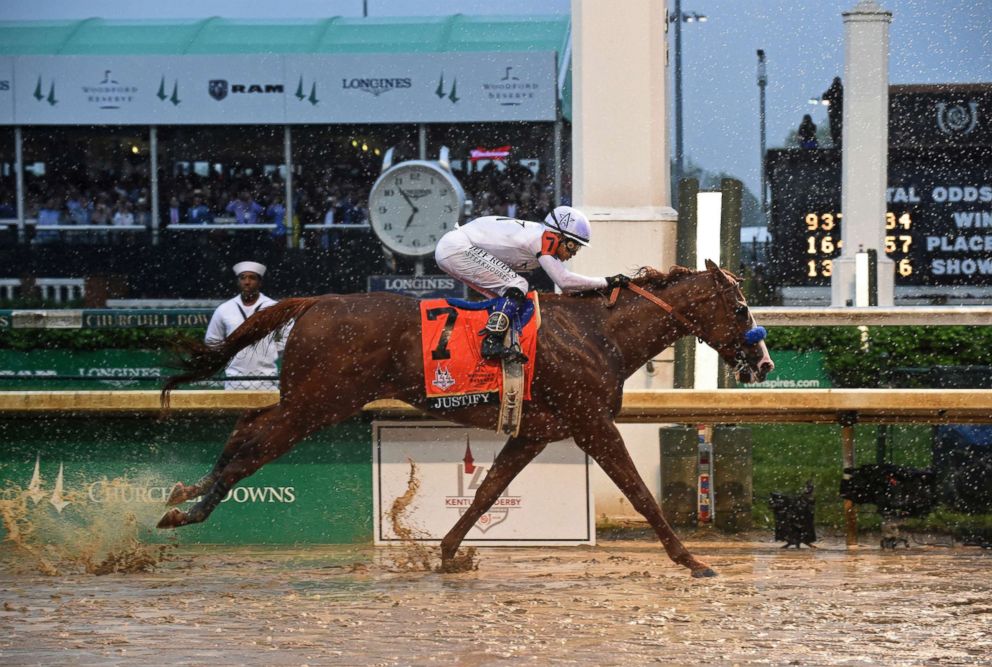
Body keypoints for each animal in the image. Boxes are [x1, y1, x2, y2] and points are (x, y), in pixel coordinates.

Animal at [159, 260, 772, 580]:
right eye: (741, 307)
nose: (763, 362)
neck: (598, 333)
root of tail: (315, 302)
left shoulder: (533, 432)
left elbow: (487, 492)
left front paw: (448, 551)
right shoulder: (592, 421)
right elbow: (640, 492)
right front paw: (692, 559)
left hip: (311, 399)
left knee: (247, 428)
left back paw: (187, 497)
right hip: (319, 401)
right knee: (255, 442)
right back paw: (187, 506)